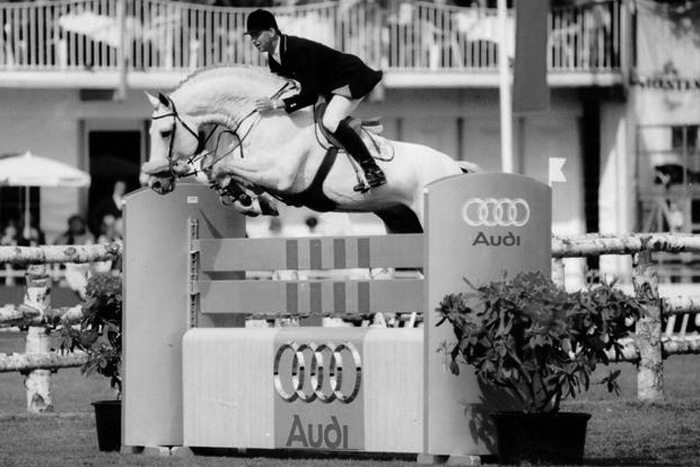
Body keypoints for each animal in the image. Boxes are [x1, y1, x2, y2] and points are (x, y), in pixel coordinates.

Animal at [142, 65, 480, 234]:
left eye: (165, 132)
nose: (156, 182)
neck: (262, 116)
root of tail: (456, 167)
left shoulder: (280, 175)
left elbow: (219, 166)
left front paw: (245, 198)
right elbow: (221, 170)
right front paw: (245, 199)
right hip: (401, 222)